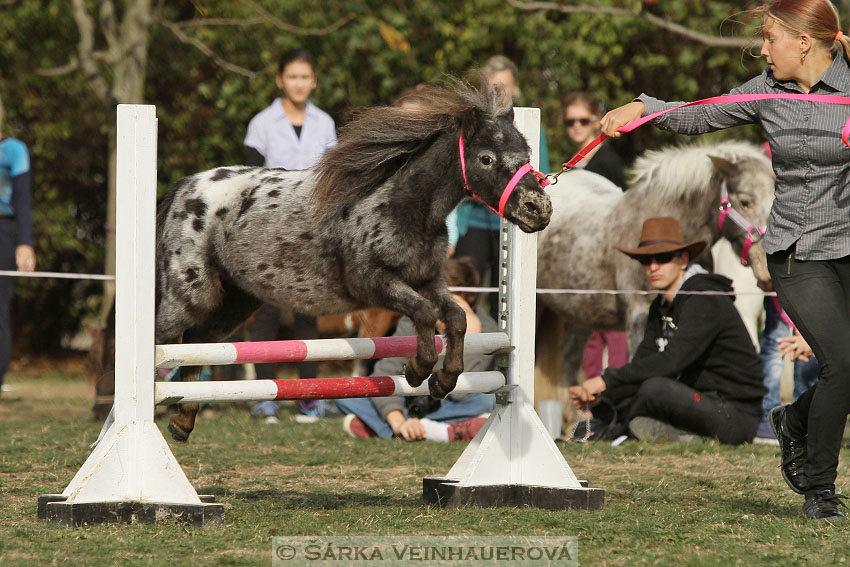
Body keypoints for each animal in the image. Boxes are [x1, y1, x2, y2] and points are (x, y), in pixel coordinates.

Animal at [156, 82, 552, 442]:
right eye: (486, 158)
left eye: (526, 156)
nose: (539, 209)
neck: (404, 204)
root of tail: (186, 188)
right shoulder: (371, 283)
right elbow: (424, 313)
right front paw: (416, 371)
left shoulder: (426, 279)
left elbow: (455, 318)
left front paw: (442, 381)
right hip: (190, 295)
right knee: (164, 340)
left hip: (238, 302)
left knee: (197, 343)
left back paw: (182, 423)